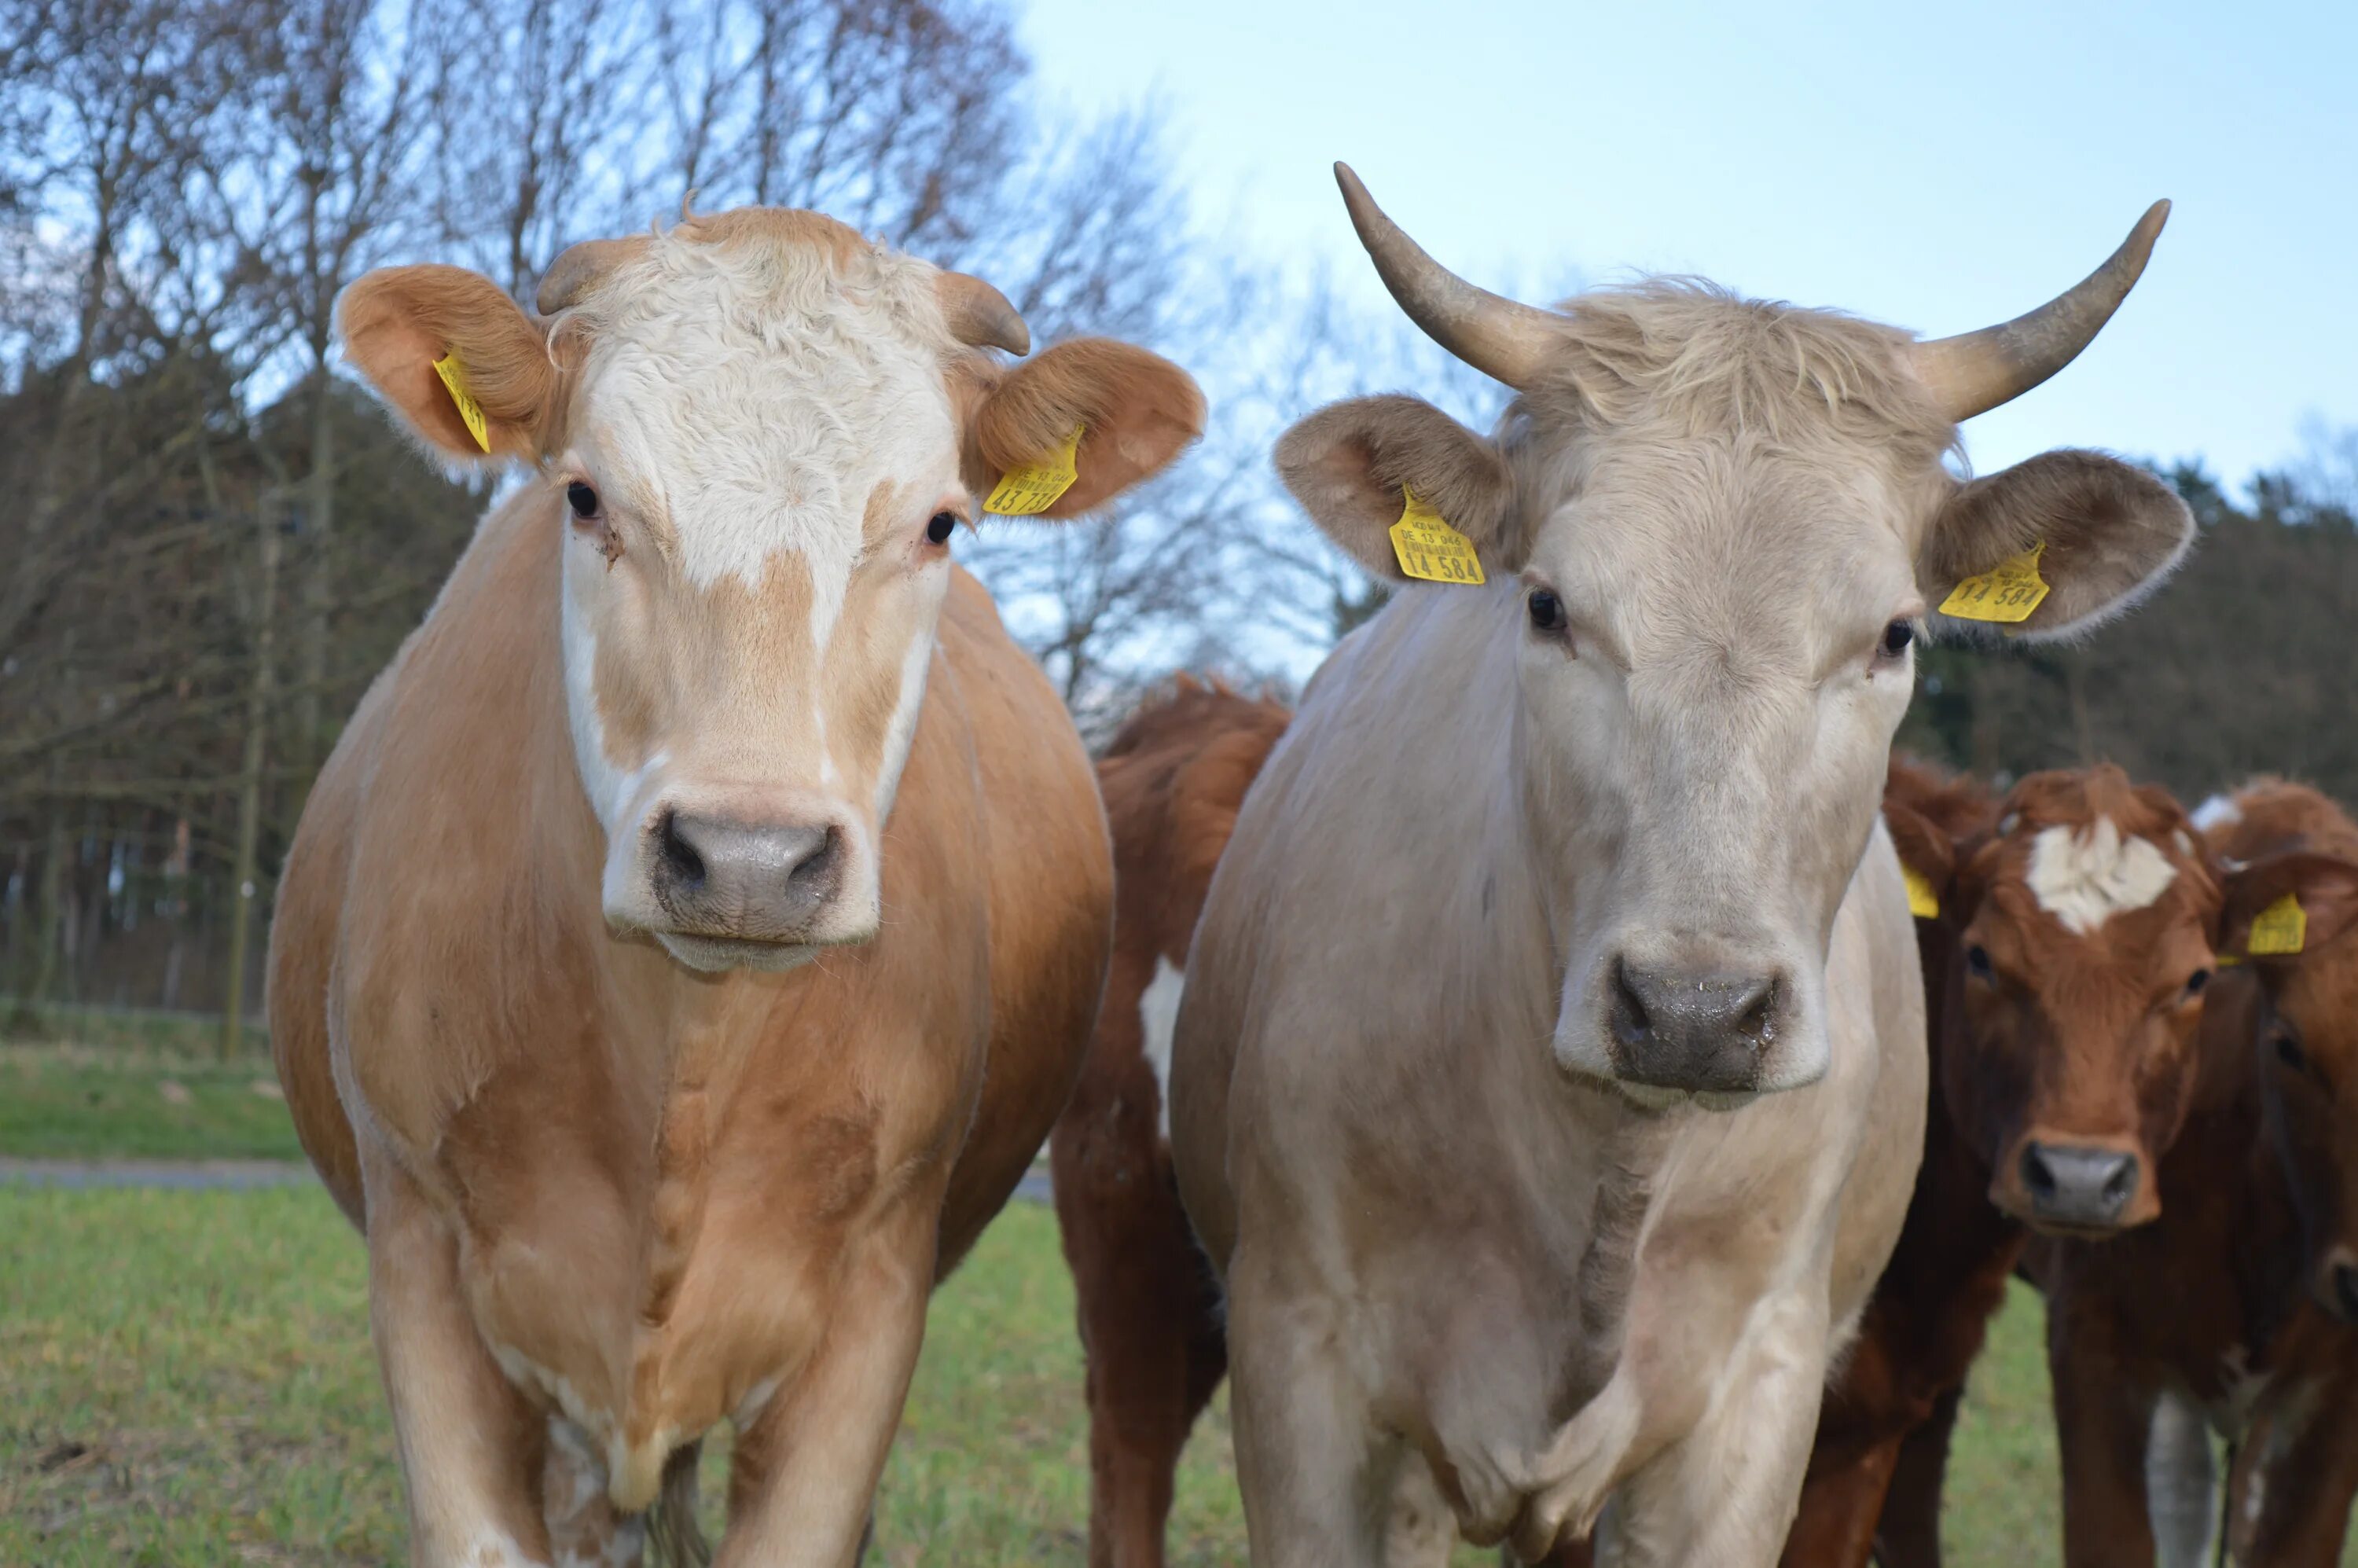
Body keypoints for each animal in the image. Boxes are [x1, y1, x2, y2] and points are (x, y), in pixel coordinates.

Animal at [267, 211, 1207, 1566]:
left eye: (941, 524)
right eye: (585, 494)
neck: (684, 1060)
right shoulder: (421, 1254)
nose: (749, 857)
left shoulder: (874, 1297)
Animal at [1170, 165, 2198, 1556]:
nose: (1696, 1010)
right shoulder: (1298, 1367)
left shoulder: (1757, 1405)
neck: (1609, 1171)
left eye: (1895, 633)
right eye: (1546, 604)